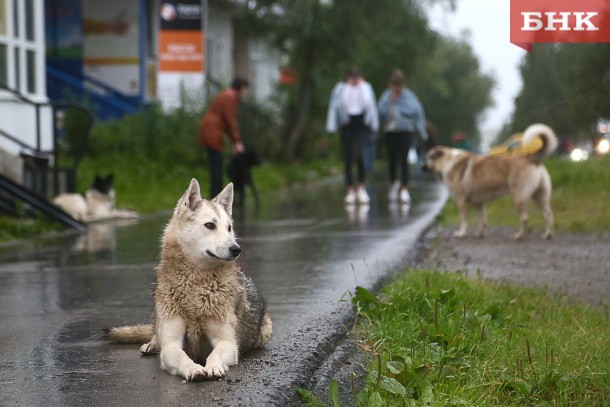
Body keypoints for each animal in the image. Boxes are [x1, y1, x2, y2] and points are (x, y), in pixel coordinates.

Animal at [422, 122, 556, 241]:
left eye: (428, 158)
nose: (422, 167)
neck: (447, 162)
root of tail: (530, 158)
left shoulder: (462, 202)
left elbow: (464, 220)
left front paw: (461, 233)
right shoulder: (479, 203)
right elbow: (482, 221)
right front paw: (480, 234)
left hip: (519, 197)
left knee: (525, 218)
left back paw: (518, 236)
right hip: (539, 197)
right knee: (549, 214)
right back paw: (547, 235)